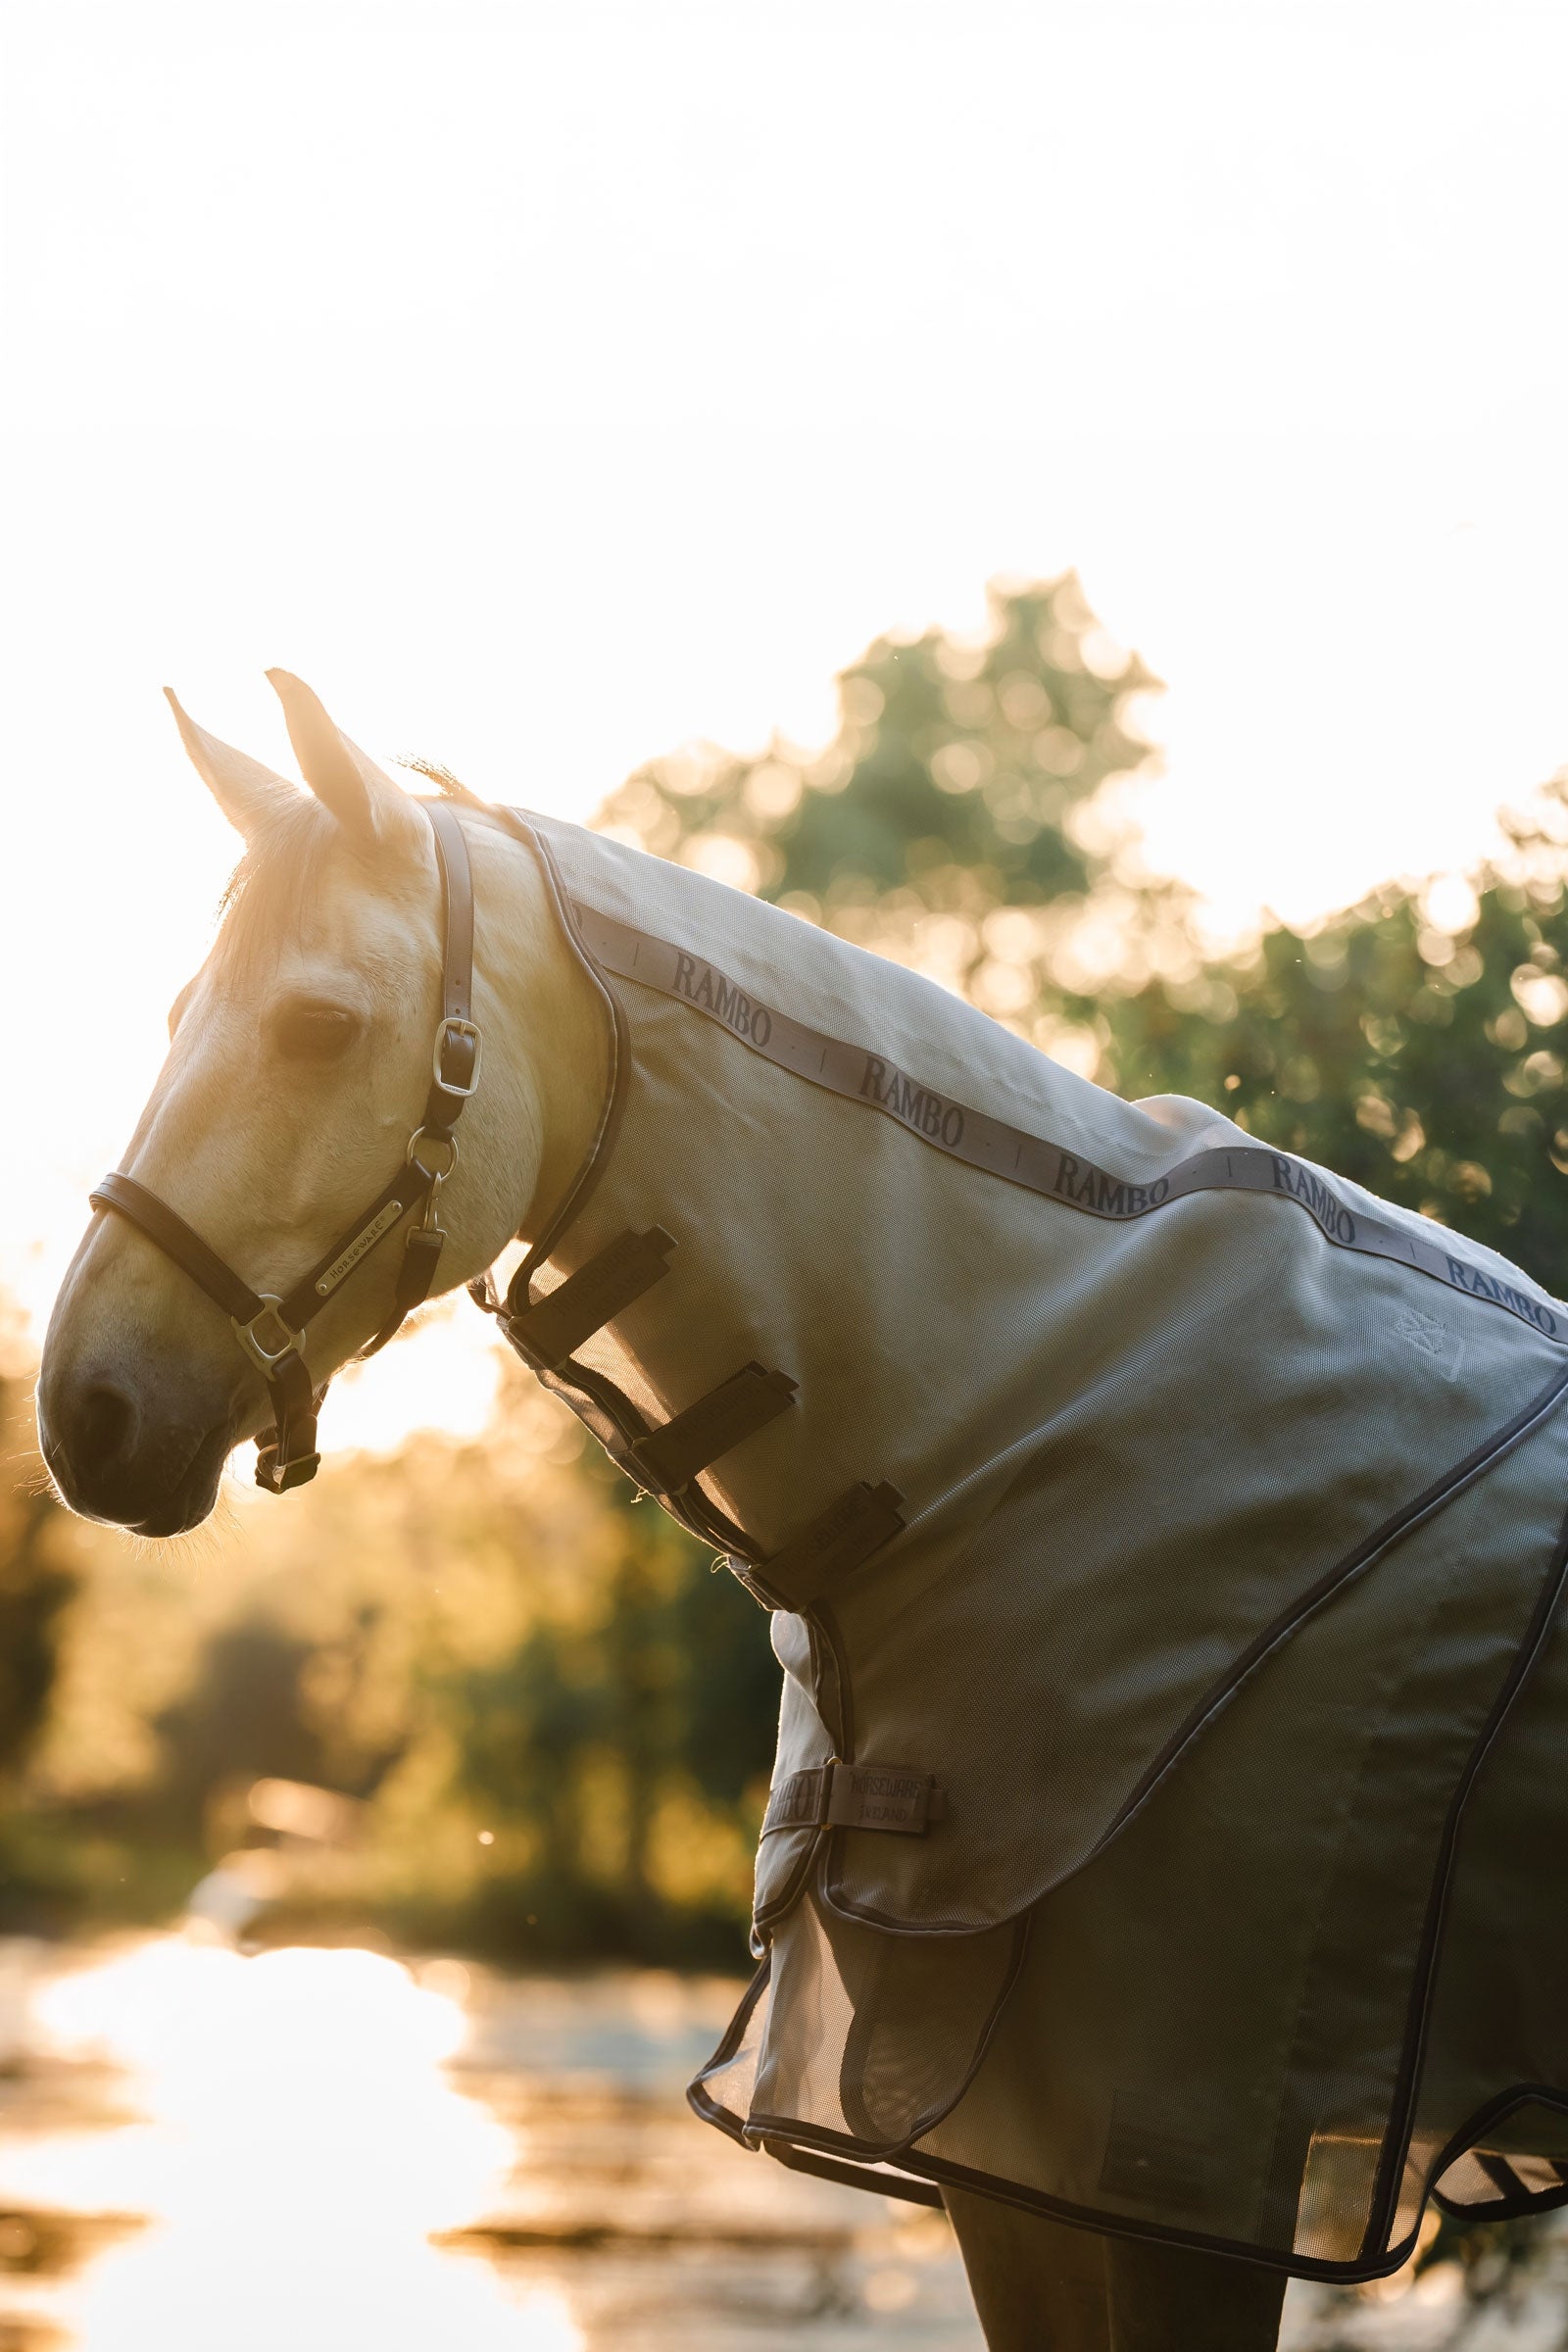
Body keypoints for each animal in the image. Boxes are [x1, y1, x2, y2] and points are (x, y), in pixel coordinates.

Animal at [40, 675, 1568, 2350]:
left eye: (319, 1024)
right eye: (174, 1014)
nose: (81, 1412)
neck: (1045, 1409)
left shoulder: (1176, 2170)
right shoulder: (1013, 2165)